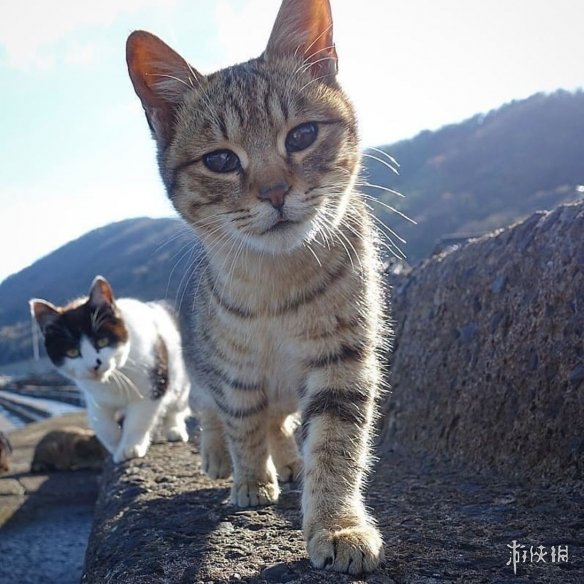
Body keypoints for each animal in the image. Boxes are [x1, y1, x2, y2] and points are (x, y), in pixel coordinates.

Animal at [30, 276, 189, 464]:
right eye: (72, 352)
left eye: (102, 342)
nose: (94, 365)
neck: (113, 378)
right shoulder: (94, 397)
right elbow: (101, 424)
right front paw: (115, 446)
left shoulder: (153, 383)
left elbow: (138, 419)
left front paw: (129, 447)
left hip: (180, 378)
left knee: (177, 406)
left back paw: (174, 429)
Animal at [125, 0, 386, 576]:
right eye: (221, 160)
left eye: (302, 135)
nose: (275, 191)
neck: (278, 285)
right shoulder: (236, 373)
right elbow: (242, 424)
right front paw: (249, 480)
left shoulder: (342, 359)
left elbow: (335, 446)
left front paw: (338, 524)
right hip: (202, 368)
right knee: (216, 415)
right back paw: (224, 458)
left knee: (282, 423)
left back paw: (288, 460)